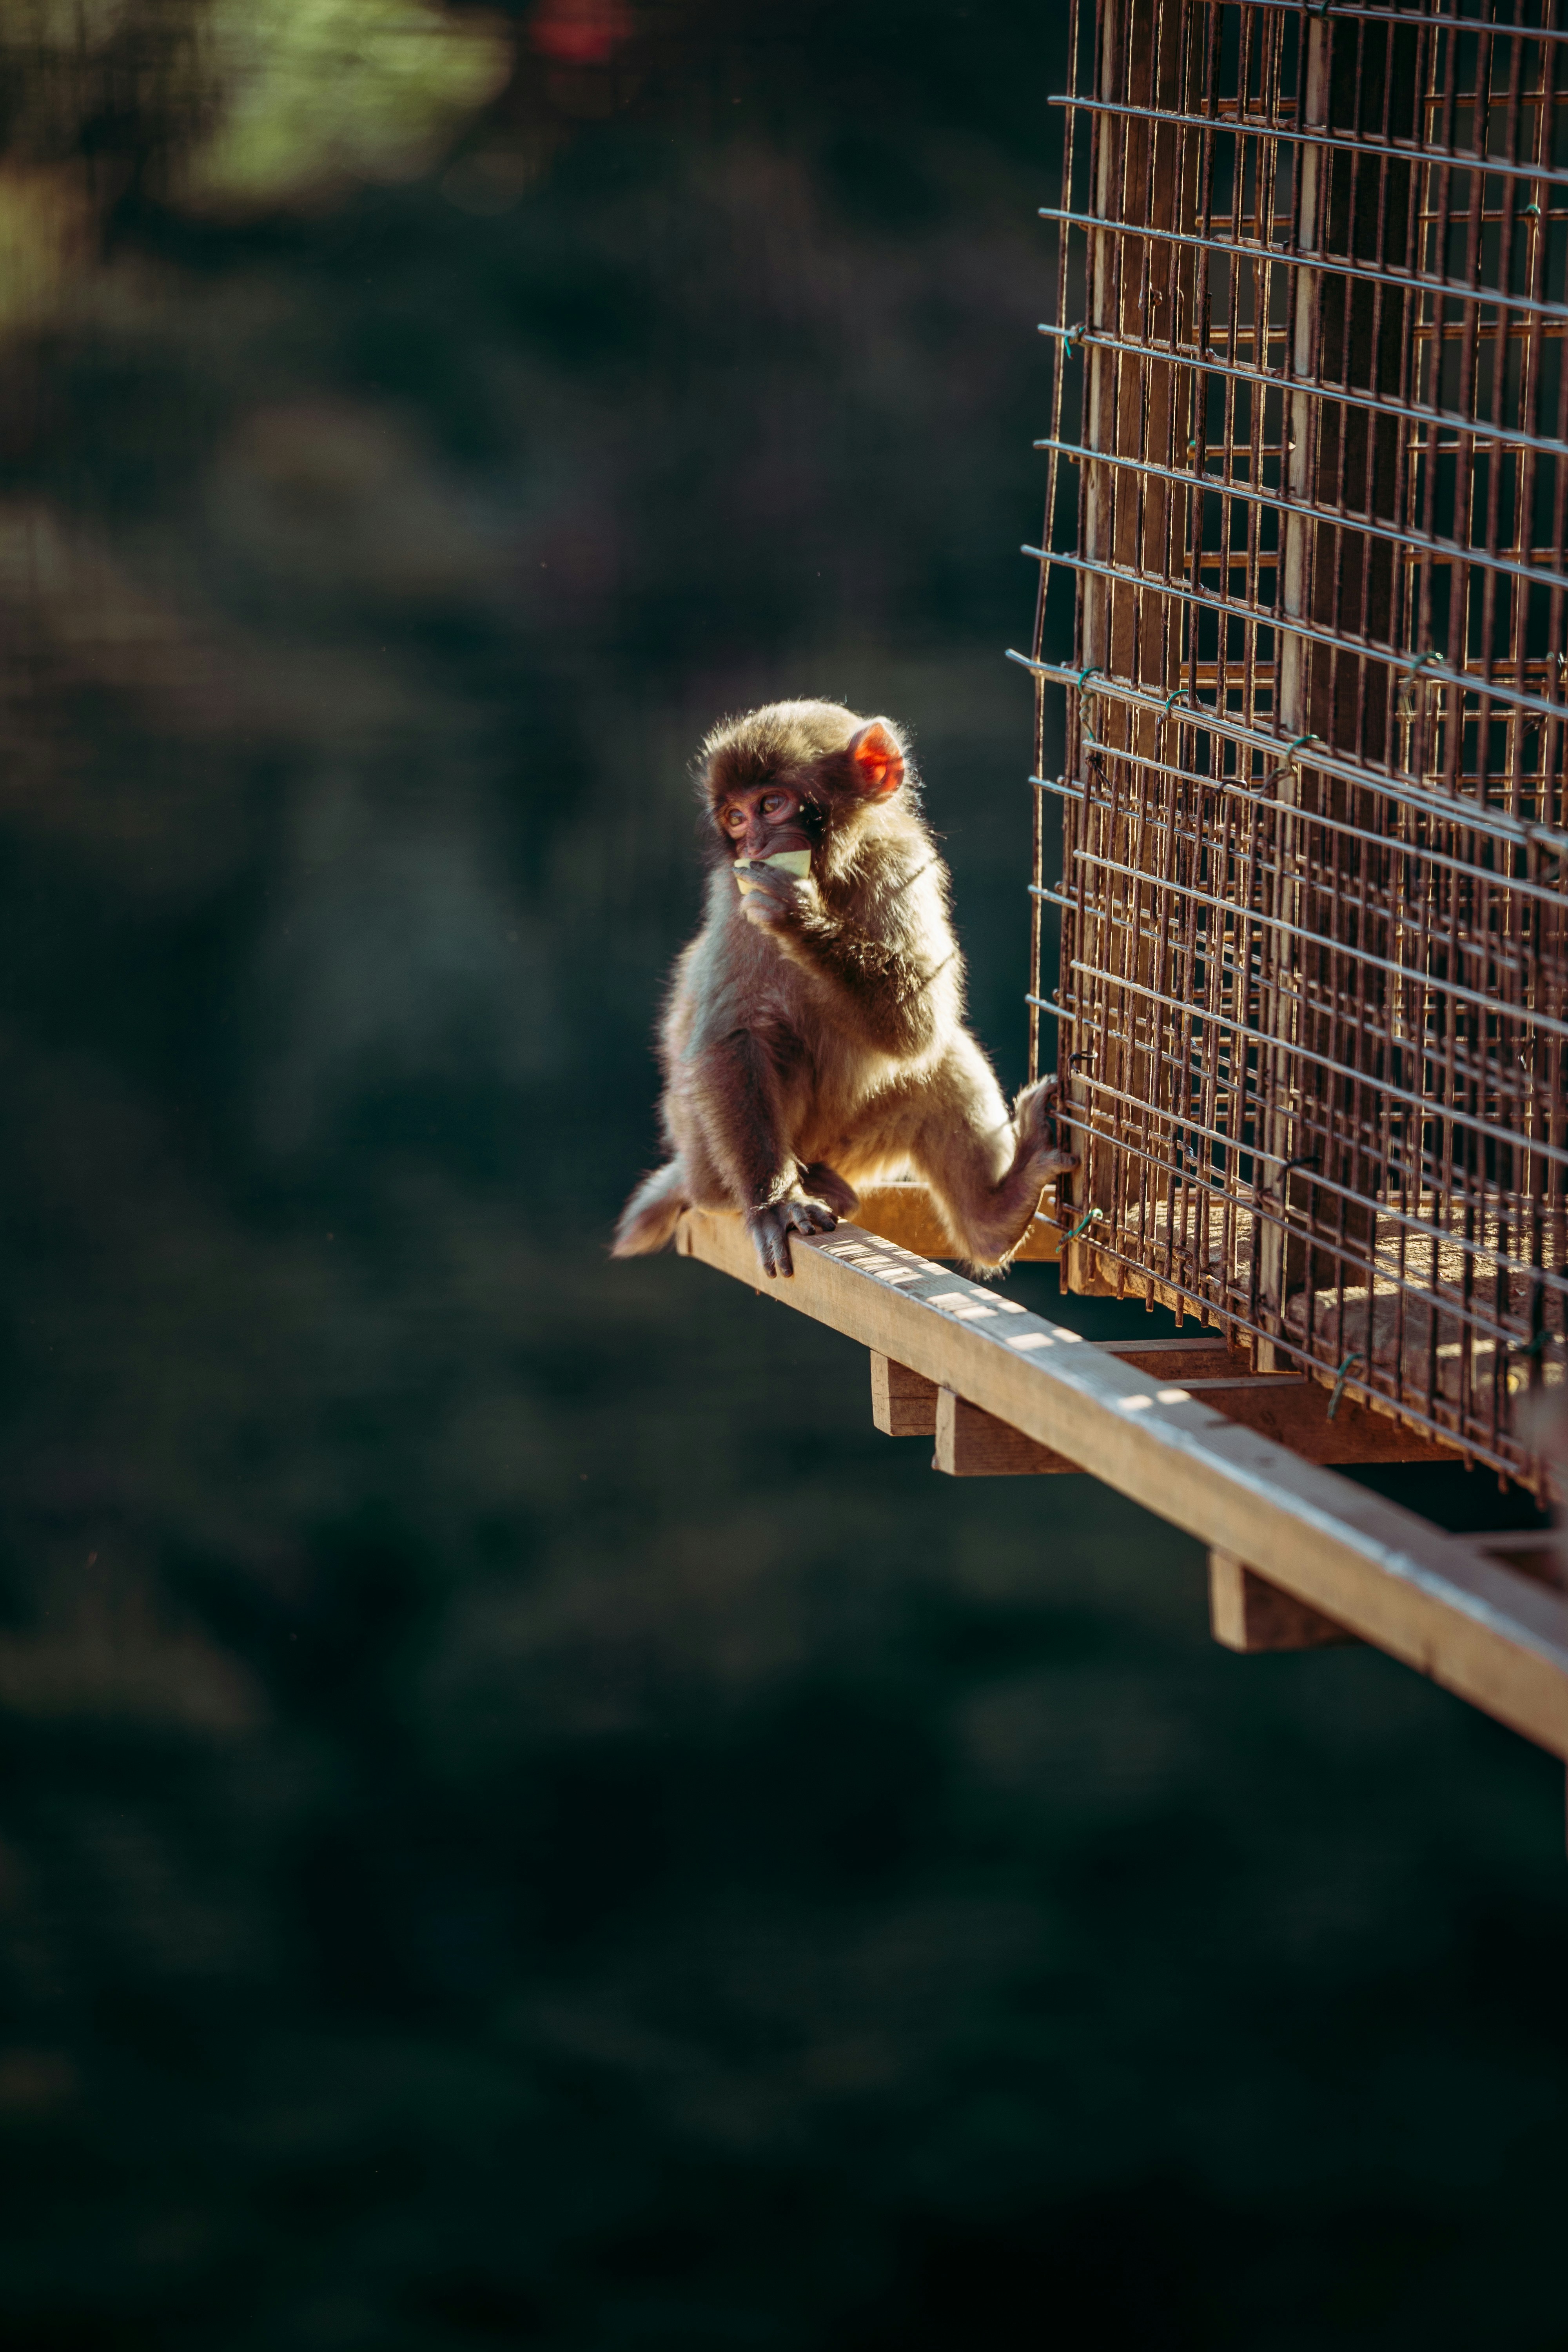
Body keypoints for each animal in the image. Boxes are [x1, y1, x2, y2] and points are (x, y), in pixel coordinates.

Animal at [612, 699, 1075, 1280]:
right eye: (736, 818)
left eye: (770, 805)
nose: (754, 844)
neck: (830, 877)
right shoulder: (735, 897)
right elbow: (731, 1037)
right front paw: (774, 1203)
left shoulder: (903, 864)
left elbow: (919, 1027)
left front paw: (800, 917)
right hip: (708, 1154)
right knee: (771, 1041)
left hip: (860, 1146)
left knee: (938, 1056)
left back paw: (995, 1217)